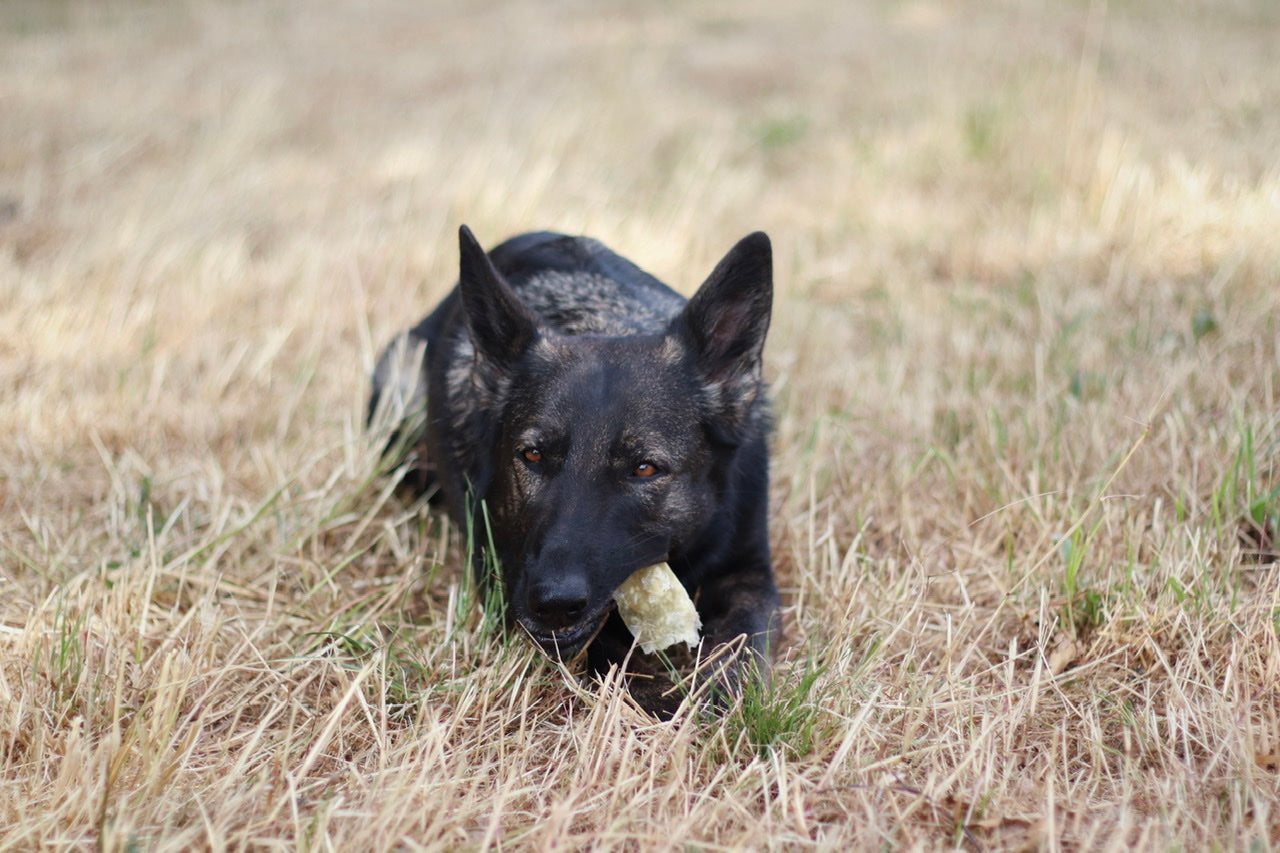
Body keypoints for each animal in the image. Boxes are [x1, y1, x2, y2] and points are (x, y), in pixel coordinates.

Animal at [366, 224, 773, 712]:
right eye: (533, 455)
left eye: (644, 468)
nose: (553, 603)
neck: (604, 319)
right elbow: (617, 662)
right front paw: (661, 701)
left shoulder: (752, 575)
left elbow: (740, 643)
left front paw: (716, 692)